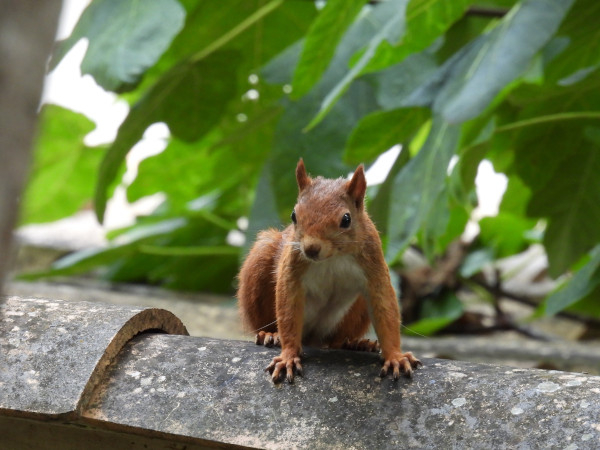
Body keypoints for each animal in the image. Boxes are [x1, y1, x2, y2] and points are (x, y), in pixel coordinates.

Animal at [237, 160, 420, 382]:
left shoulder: (374, 268)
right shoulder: (292, 271)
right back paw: (270, 335)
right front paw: (288, 356)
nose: (311, 248)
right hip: (259, 265)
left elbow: (385, 310)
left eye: (346, 219)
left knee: (335, 342)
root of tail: (313, 339)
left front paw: (395, 357)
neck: (333, 258)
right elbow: (288, 312)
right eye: (293, 216)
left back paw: (355, 343)